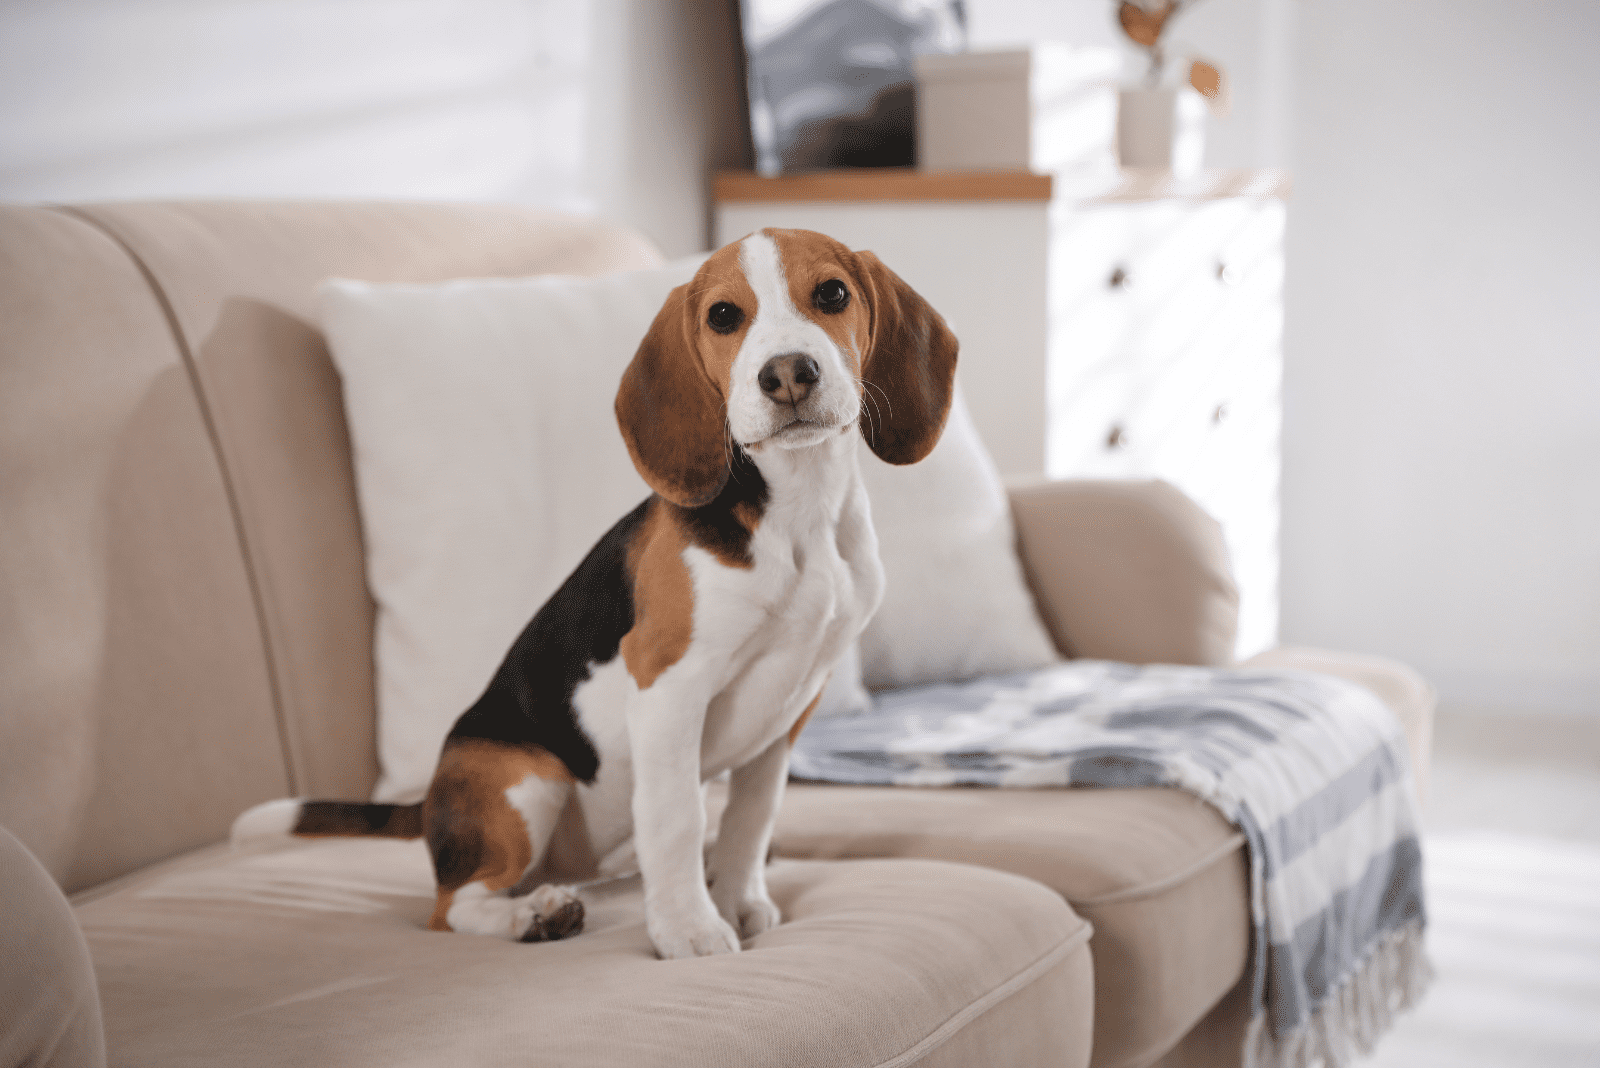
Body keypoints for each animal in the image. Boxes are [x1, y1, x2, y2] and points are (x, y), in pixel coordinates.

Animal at [232, 225, 953, 959]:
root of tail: (430, 801)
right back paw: (534, 915)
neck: (801, 514)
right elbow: (677, 817)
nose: (786, 373)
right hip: (528, 780)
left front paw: (736, 899)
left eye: (832, 294)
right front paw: (690, 931)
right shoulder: (668, 685)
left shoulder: (789, 711)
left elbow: (751, 819)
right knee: (452, 906)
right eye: (724, 315)